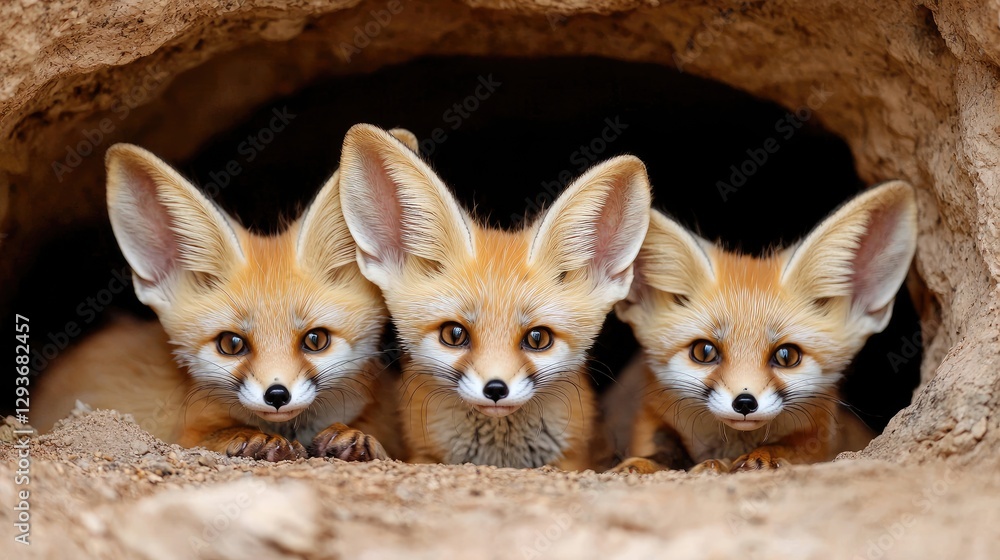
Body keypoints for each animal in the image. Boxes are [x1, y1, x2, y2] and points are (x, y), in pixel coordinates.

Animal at [33, 130, 422, 462]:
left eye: (316, 339)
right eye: (231, 344)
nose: (277, 395)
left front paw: (355, 436)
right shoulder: (185, 431)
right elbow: (212, 435)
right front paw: (250, 437)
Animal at [337, 124, 652, 470]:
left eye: (538, 338)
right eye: (454, 334)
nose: (496, 389)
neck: (498, 455)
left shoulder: (574, 459)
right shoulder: (421, 455)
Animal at [609, 181, 918, 473]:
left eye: (786, 355)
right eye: (704, 351)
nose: (745, 403)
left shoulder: (819, 439)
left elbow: (786, 448)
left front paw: (759, 457)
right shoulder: (653, 423)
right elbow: (661, 452)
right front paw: (645, 464)